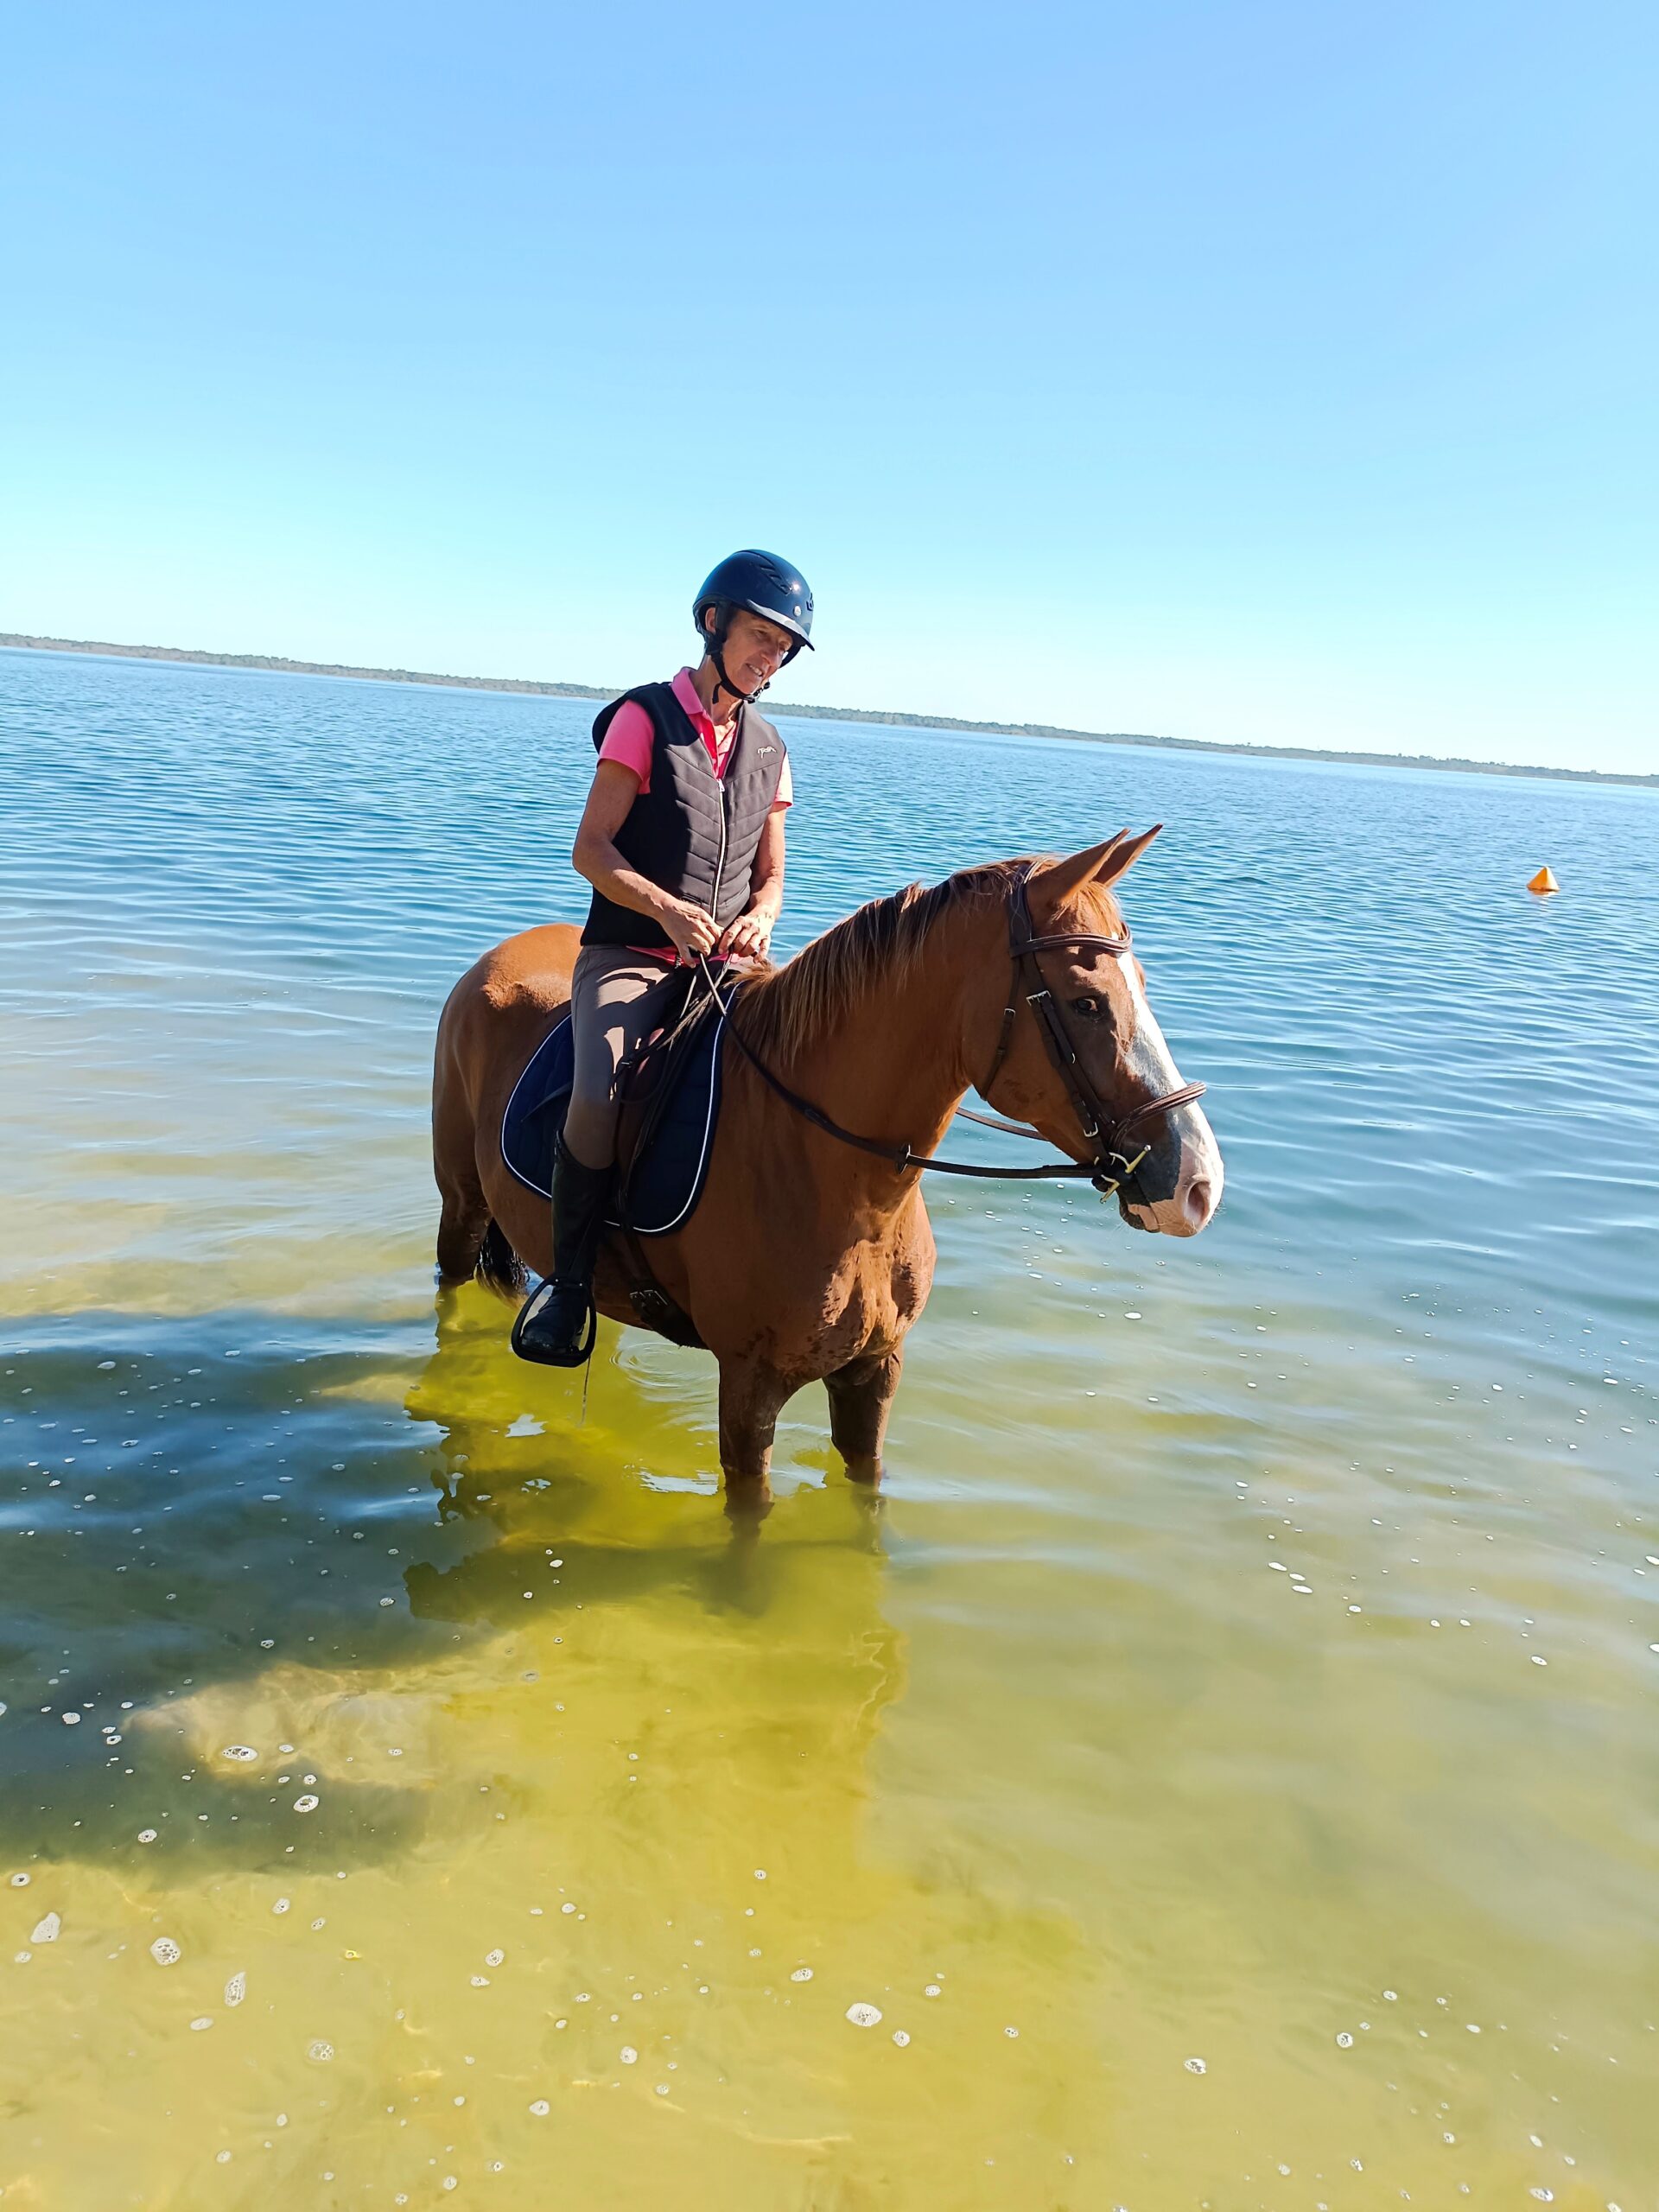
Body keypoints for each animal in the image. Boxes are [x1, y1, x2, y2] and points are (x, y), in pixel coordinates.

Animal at [432, 830, 1223, 1507]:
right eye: (1086, 1002)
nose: (1198, 1185)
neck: (845, 1189)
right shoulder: (750, 1387)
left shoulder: (875, 1372)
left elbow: (864, 1492)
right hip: (462, 1202)